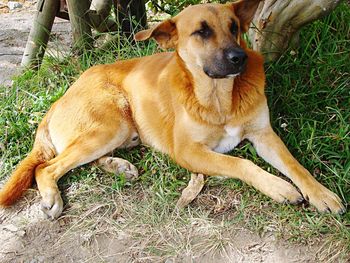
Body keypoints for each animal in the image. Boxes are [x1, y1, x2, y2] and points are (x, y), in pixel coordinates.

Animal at [0, 0, 344, 219]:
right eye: (202, 31)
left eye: (234, 27)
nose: (240, 58)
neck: (219, 99)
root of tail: (59, 99)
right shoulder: (189, 152)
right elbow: (241, 163)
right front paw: (279, 188)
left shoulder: (264, 135)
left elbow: (296, 166)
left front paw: (321, 194)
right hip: (111, 124)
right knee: (47, 167)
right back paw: (52, 197)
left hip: (114, 132)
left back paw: (117, 166)